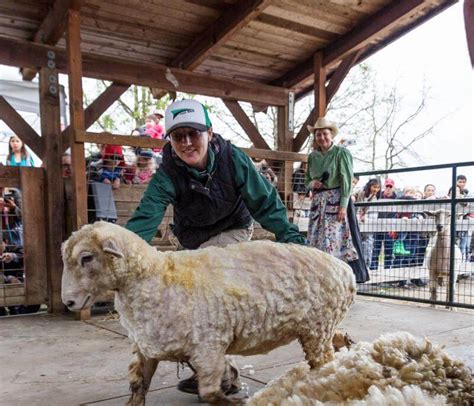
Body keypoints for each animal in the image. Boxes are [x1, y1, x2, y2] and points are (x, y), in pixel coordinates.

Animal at [61, 222, 356, 406]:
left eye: (86, 257)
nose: (68, 301)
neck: (157, 275)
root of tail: (345, 269)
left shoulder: (209, 346)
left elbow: (210, 391)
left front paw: (233, 400)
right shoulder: (147, 349)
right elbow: (138, 385)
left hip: (317, 326)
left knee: (323, 361)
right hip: (318, 327)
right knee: (333, 341)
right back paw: (348, 343)